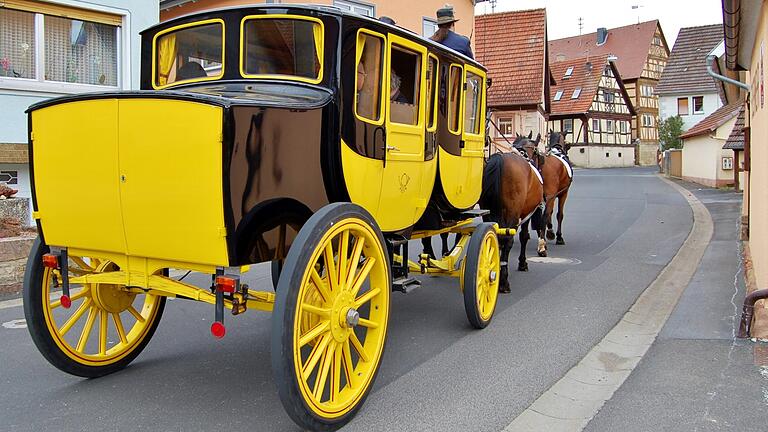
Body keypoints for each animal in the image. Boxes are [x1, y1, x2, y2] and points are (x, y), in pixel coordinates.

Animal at [480, 133, 544, 292]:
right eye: (537, 153)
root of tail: (499, 160)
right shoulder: (526, 213)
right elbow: (524, 236)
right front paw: (522, 263)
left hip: (489, 212)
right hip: (512, 214)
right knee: (507, 240)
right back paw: (503, 281)